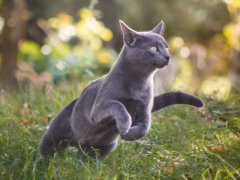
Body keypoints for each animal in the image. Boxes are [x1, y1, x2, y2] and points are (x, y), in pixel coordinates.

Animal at [39, 19, 202, 160]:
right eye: (154, 48)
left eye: (166, 47)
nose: (168, 56)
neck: (139, 82)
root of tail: (77, 143)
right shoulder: (98, 109)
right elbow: (117, 104)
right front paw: (124, 126)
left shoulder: (144, 112)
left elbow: (144, 129)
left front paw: (127, 135)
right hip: (56, 132)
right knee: (47, 147)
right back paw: (44, 165)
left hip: (102, 147)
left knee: (85, 158)